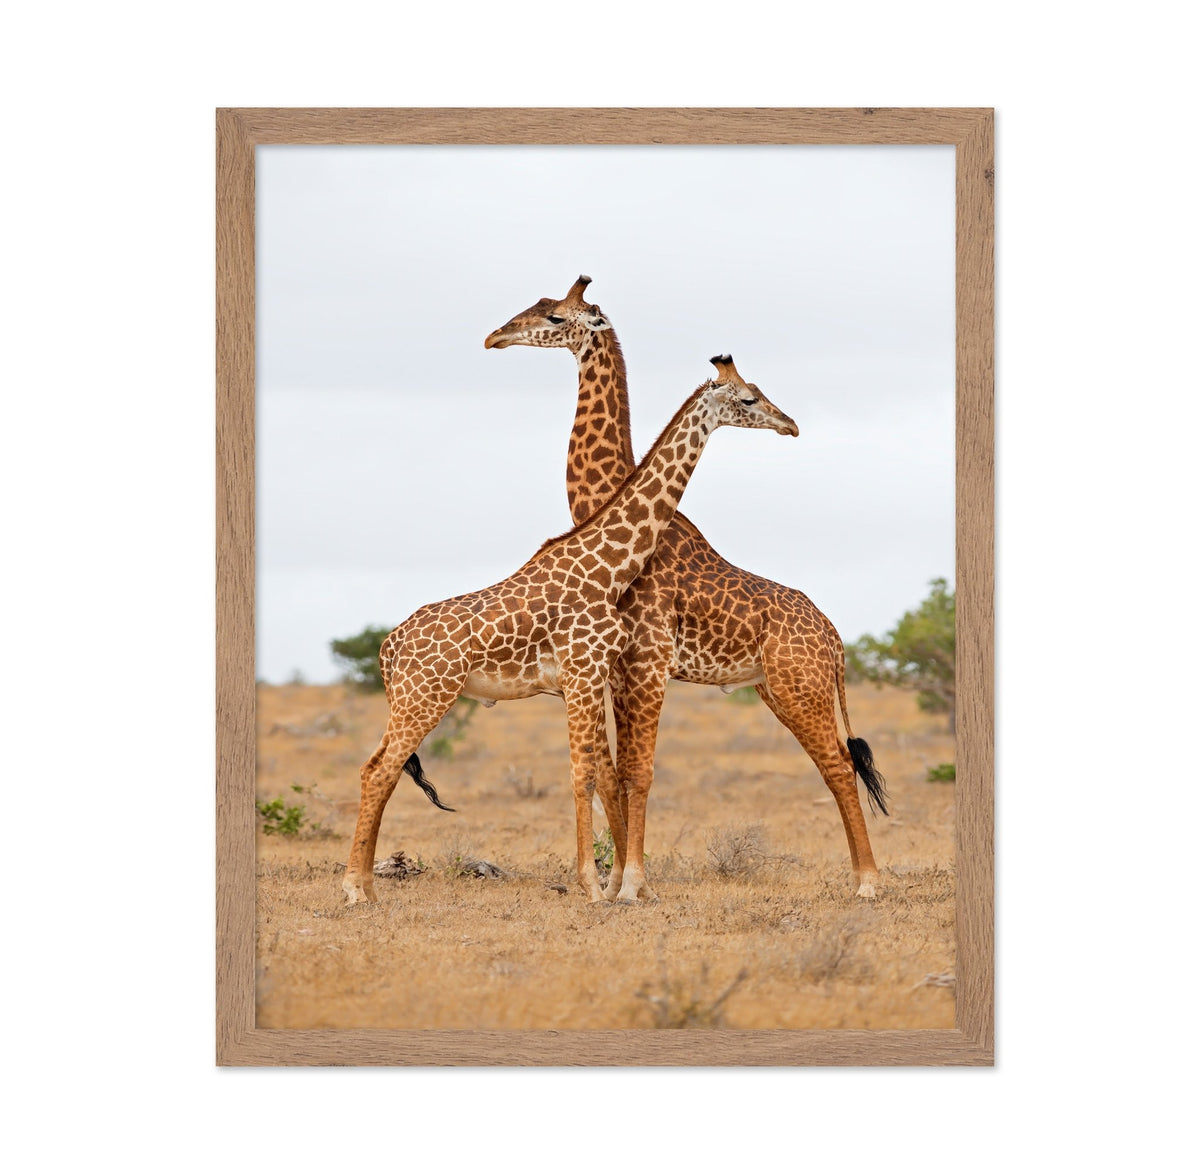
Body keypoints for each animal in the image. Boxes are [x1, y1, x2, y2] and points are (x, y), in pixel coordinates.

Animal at [341, 357, 798, 905]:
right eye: (749, 398)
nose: (790, 425)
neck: (608, 568)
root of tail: (388, 647)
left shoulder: (585, 679)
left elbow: (596, 774)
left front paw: (603, 885)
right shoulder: (581, 673)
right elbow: (583, 777)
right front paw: (594, 888)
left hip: (413, 698)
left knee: (379, 769)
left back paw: (366, 886)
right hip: (425, 695)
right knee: (378, 770)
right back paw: (355, 889)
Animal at [485, 276, 889, 902]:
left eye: (553, 317)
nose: (495, 337)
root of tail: (836, 640)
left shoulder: (646, 662)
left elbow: (635, 772)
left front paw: (629, 884)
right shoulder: (614, 669)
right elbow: (612, 773)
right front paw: (618, 882)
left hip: (802, 688)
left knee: (841, 767)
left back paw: (868, 883)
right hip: (776, 690)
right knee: (834, 766)